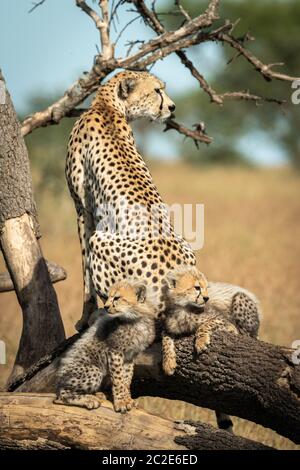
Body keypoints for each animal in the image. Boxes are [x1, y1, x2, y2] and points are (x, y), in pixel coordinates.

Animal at [65, 70, 196, 330]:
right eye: (157, 90)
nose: (172, 107)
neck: (106, 106)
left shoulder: (83, 211)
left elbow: (85, 274)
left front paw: (84, 317)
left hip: (100, 240)